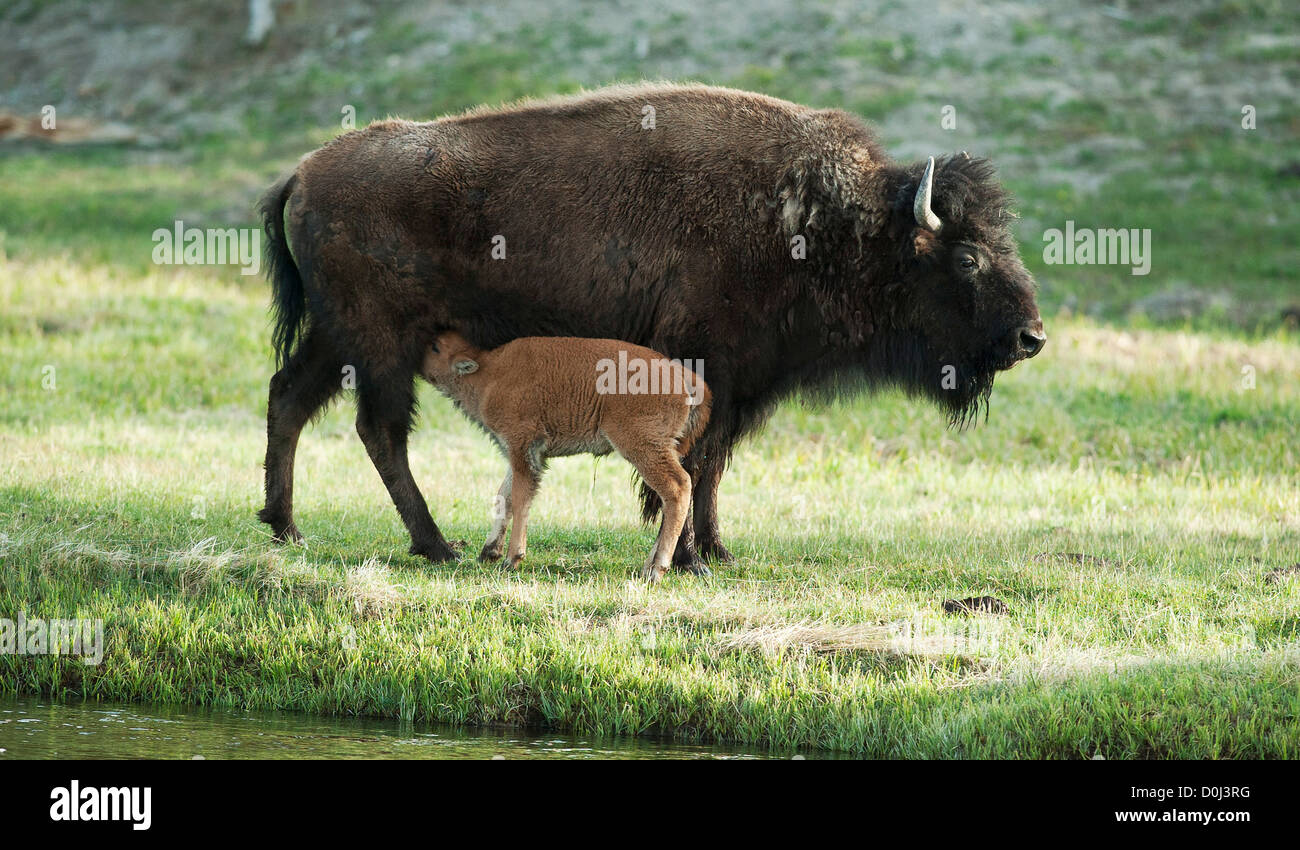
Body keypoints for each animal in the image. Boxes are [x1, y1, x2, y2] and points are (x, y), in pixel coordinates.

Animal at [256, 82, 1045, 570]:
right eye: (968, 256)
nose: (1031, 337)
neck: (824, 222)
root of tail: (304, 172)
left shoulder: (737, 385)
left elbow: (713, 464)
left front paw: (719, 551)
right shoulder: (710, 367)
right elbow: (696, 464)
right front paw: (693, 556)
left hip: (337, 338)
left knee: (289, 399)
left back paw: (286, 527)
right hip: (381, 343)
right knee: (380, 429)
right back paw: (433, 544)